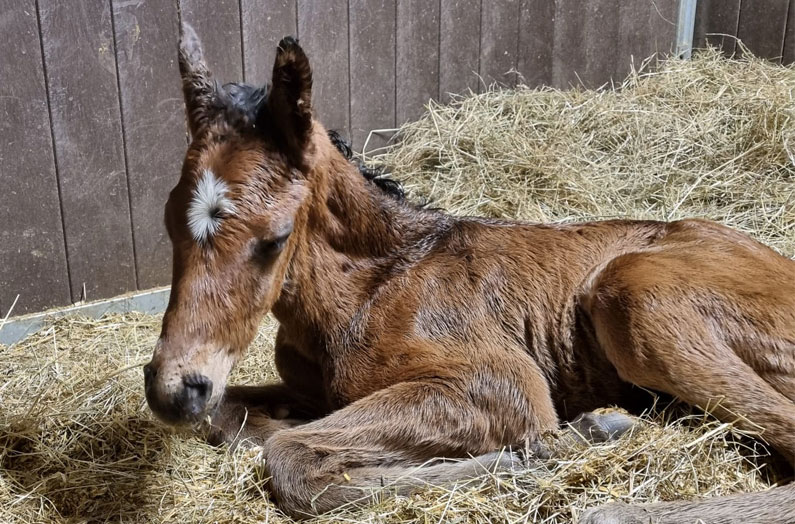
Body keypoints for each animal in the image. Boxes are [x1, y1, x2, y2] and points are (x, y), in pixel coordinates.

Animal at [143, 23, 795, 520]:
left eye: (273, 239)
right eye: (168, 220)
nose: (174, 391)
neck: (371, 287)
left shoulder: (501, 382)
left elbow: (290, 458)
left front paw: (540, 454)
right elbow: (233, 421)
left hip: (634, 296)